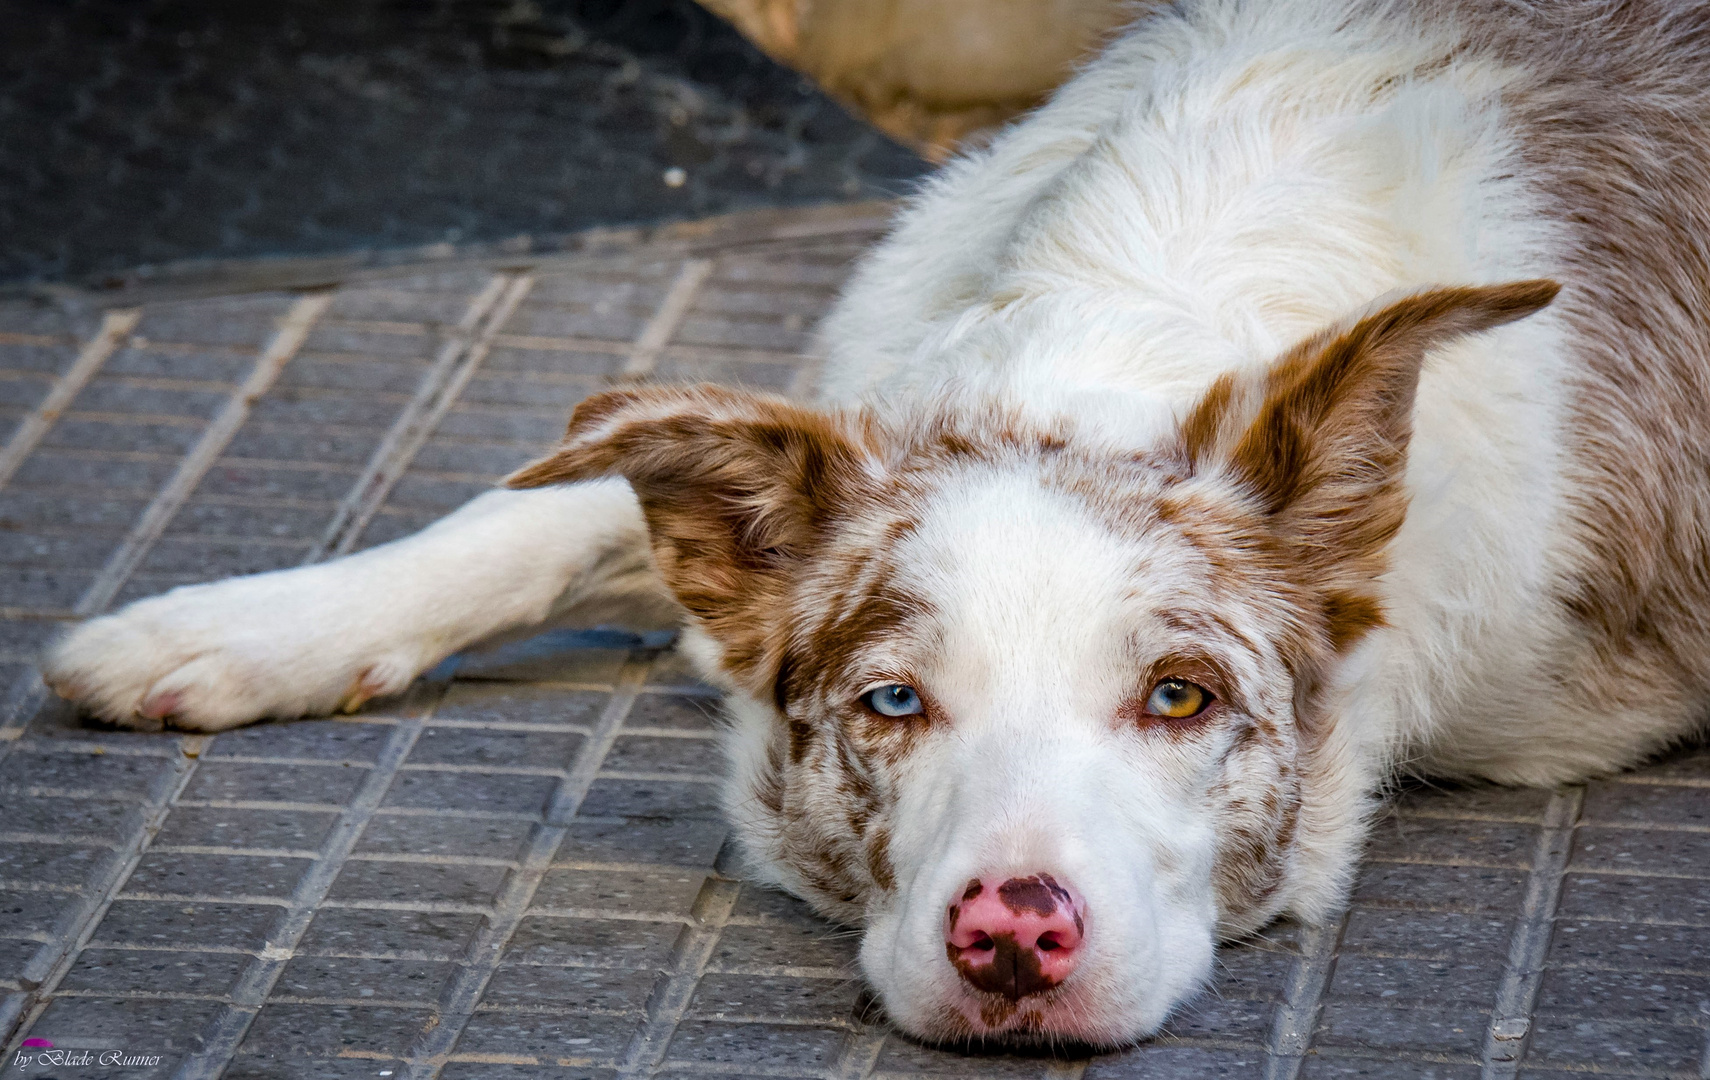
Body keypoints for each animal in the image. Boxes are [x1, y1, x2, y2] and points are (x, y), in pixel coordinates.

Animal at [36, 0, 1710, 1052]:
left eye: (1180, 699)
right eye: (892, 705)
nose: (1013, 938)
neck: (1105, 343)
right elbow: (542, 510)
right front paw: (225, 628)